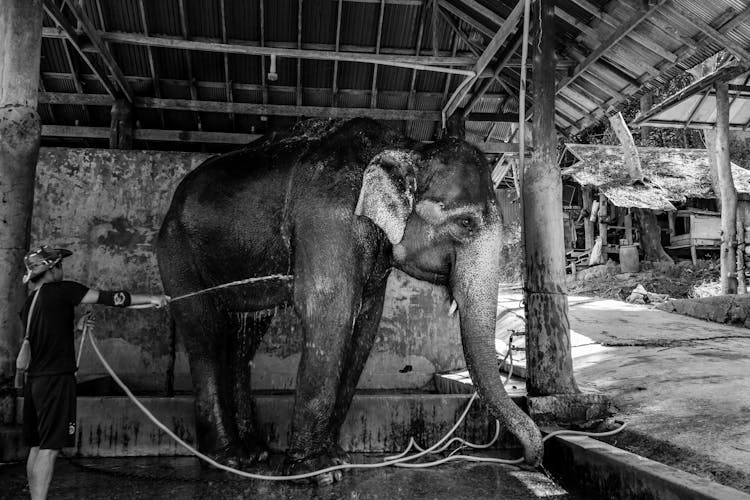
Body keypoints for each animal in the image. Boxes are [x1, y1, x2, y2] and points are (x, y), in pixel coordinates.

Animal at [157, 118, 548, 484]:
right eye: (466, 222)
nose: (532, 461)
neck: (408, 147)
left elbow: (366, 326)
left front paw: (337, 458)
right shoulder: (327, 218)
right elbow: (330, 310)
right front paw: (316, 473)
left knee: (246, 335)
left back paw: (254, 454)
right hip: (176, 250)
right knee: (205, 333)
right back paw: (228, 460)